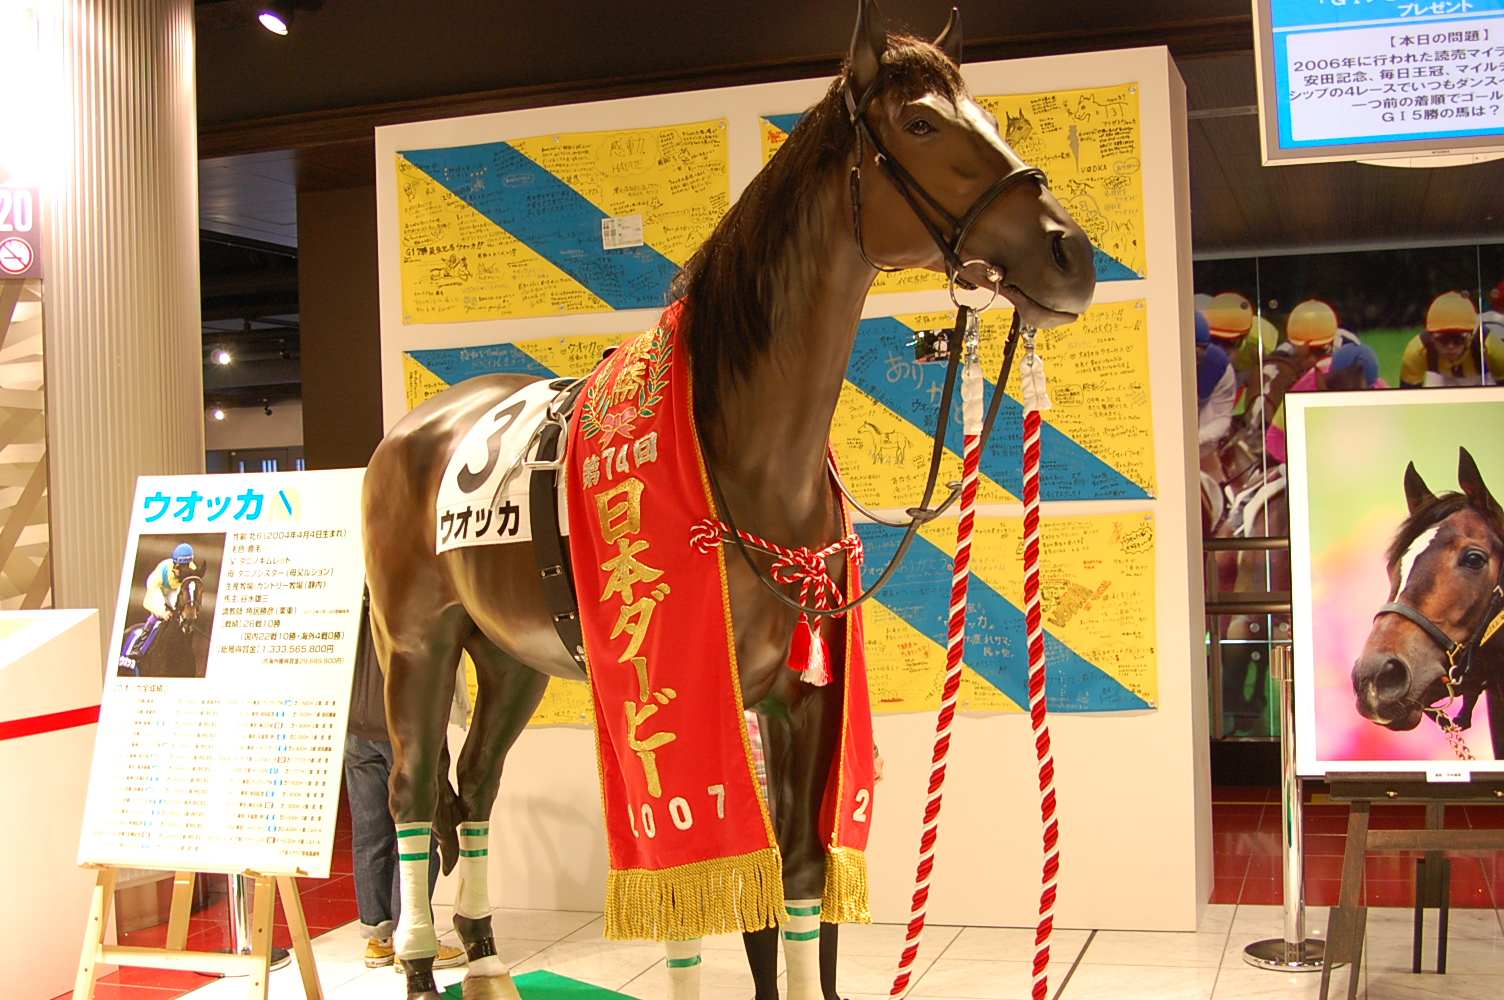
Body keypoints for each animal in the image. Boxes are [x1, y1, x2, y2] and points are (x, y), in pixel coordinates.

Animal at [361, 5, 1095, 999]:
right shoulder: (680, 702)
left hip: (509, 659)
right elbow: (708, 907)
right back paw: (417, 959)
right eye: (920, 124)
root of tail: (413, 432)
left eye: (986, 116)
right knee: (406, 794)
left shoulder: (801, 702)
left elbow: (799, 882)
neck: (743, 455)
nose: (1071, 252)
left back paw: (485, 959)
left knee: (471, 788)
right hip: (419, 646)